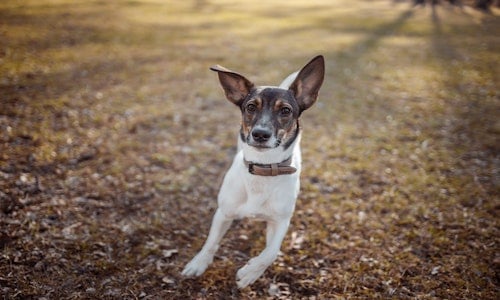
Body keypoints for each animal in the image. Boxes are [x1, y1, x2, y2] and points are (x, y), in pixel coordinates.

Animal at [182, 55, 326, 288]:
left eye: (285, 110)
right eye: (250, 107)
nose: (260, 134)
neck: (262, 169)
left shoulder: (281, 221)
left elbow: (271, 253)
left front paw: (250, 273)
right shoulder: (223, 213)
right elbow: (211, 242)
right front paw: (199, 263)